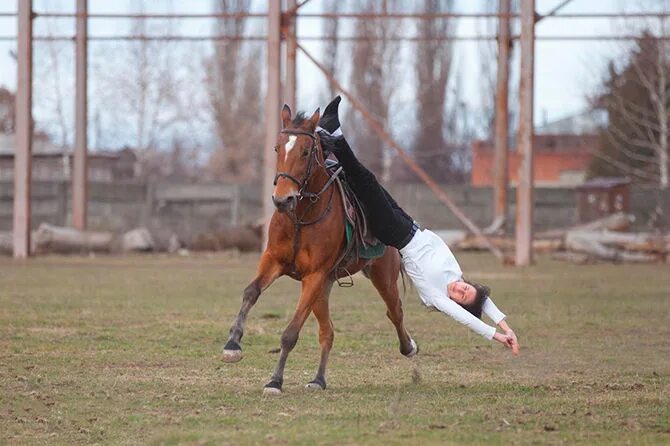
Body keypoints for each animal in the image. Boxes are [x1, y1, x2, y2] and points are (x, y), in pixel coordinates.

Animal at [223, 106, 418, 396]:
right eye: (277, 148)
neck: (301, 217)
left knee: (395, 312)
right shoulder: (274, 261)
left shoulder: (313, 276)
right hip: (323, 288)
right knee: (328, 331)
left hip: (381, 277)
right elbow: (251, 292)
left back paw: (410, 350)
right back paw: (318, 379)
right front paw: (232, 345)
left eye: (306, 151)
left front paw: (275, 381)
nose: (283, 199)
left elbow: (290, 333)